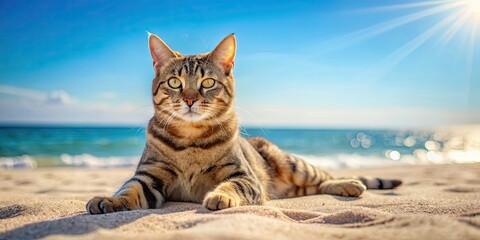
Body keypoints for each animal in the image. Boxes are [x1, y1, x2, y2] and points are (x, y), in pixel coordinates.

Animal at [86, 32, 402, 214]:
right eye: (175, 82)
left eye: (207, 83)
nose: (189, 99)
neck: (190, 138)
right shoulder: (149, 176)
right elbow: (129, 190)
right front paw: (108, 200)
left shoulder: (246, 176)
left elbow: (234, 186)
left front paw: (221, 196)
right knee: (312, 188)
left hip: (292, 164)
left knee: (323, 177)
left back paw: (350, 184)